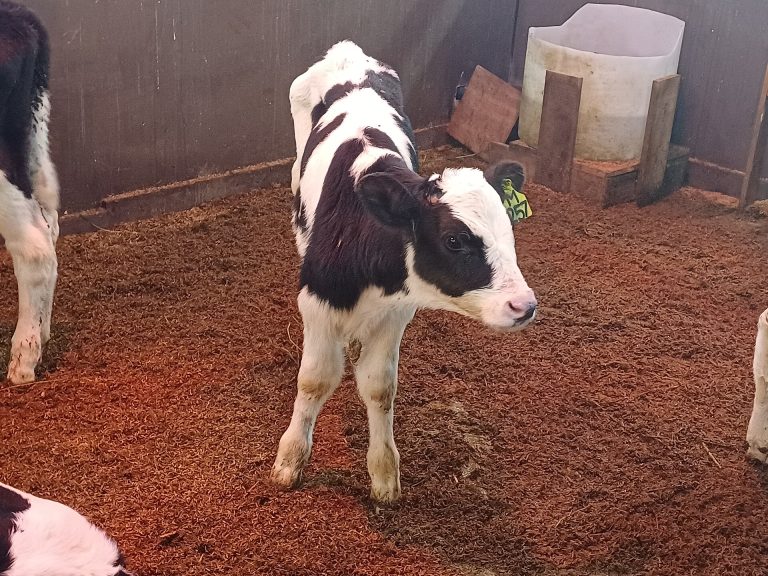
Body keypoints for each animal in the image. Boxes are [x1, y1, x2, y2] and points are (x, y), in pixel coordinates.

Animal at [271, 41, 537, 503]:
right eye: (454, 240)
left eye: (509, 229)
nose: (524, 305)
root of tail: (347, 52)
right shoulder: (317, 304)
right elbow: (314, 381)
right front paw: (290, 459)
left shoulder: (395, 313)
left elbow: (380, 387)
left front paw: (383, 473)